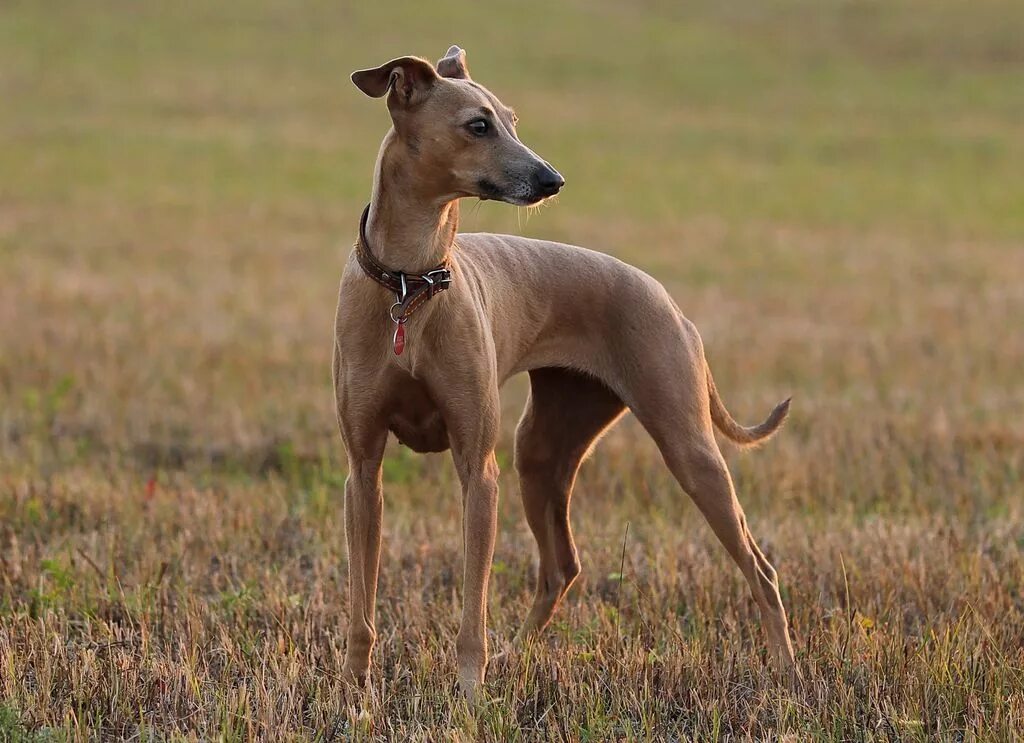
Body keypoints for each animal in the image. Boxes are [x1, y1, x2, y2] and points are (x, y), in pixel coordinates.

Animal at [337, 45, 798, 700]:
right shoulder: (363, 469)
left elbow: (473, 604)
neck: (410, 282)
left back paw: (786, 672)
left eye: (511, 120)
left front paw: (469, 693)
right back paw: (514, 656)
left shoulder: (478, 469)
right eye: (478, 125)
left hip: (687, 448)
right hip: (541, 450)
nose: (552, 179)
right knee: (561, 568)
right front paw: (354, 688)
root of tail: (670, 303)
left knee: (760, 568)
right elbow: (362, 600)